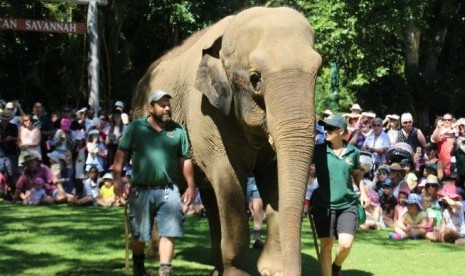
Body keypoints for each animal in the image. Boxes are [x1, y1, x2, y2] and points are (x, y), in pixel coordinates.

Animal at [130, 7, 320, 276]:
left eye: (319, 72)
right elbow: (228, 179)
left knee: (210, 197)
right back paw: (155, 254)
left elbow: (274, 180)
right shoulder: (205, 115)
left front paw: (272, 270)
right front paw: (238, 273)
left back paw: (215, 266)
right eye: (255, 79)